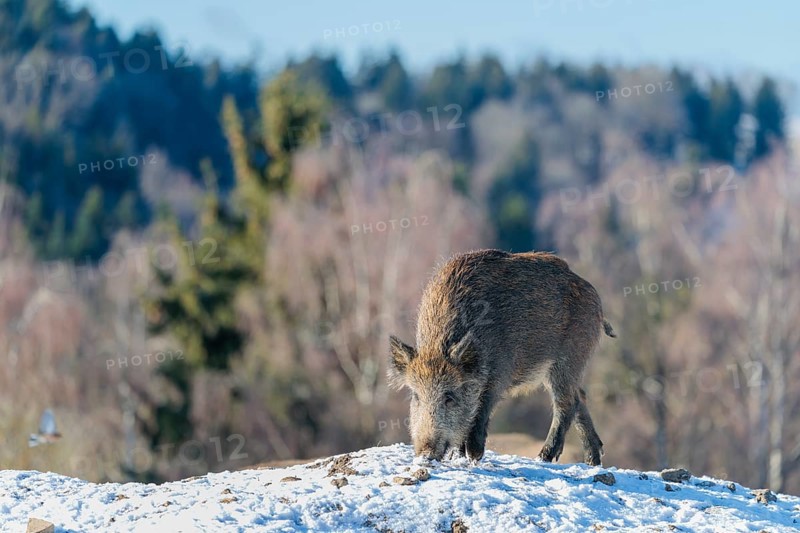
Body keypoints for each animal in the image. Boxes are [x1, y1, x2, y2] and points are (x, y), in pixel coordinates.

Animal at [388, 249, 616, 466]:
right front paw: (460, 455)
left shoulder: (498, 376)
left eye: (449, 397)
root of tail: (593, 295)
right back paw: (593, 461)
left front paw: (474, 455)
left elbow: (480, 411)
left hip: (568, 359)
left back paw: (543, 458)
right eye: (416, 396)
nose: (425, 454)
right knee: (580, 397)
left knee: (566, 403)